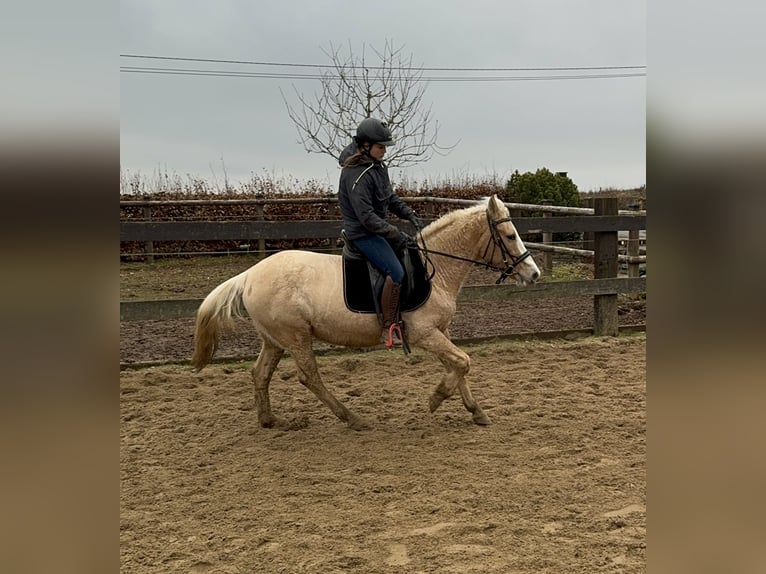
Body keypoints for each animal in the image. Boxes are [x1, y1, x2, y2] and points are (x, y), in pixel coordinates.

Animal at [192, 196, 540, 430]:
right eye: (510, 236)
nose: (533, 274)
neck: (434, 269)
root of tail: (249, 275)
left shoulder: (440, 332)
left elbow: (458, 365)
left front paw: (475, 411)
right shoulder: (424, 333)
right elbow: (462, 362)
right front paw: (436, 398)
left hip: (275, 340)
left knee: (260, 373)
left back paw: (268, 420)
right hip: (296, 337)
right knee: (309, 376)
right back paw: (352, 418)